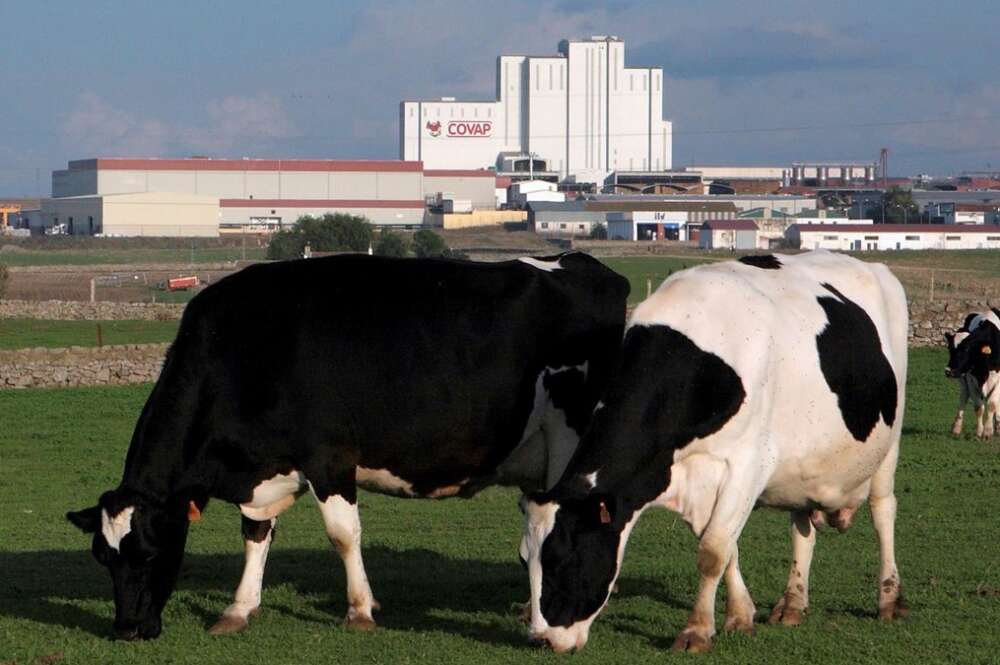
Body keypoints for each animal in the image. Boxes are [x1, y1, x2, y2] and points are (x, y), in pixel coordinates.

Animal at [66, 252, 629, 641]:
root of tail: (584, 265)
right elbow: (255, 534)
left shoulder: (329, 457)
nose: (127, 629)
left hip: (569, 441)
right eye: (102, 557)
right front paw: (239, 608)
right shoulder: (264, 468)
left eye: (149, 551)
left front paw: (359, 610)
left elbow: (342, 534)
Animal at [520, 251, 908, 654]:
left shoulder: (745, 466)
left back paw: (889, 598)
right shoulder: (695, 475)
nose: (541, 639)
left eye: (565, 559)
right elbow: (726, 546)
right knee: (802, 527)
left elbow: (713, 551)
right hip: (805, 467)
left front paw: (697, 630)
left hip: (889, 443)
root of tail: (869, 266)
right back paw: (792, 602)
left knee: (883, 512)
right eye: (524, 560)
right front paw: (739, 616)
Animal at [945, 308, 1000, 439]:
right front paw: (980, 432)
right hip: (962, 378)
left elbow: (992, 404)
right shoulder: (971, 379)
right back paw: (956, 428)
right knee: (964, 395)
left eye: (966, 349)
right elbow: (978, 407)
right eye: (950, 349)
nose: (948, 371)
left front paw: (988, 431)